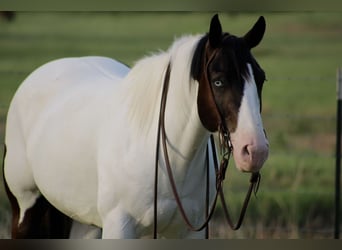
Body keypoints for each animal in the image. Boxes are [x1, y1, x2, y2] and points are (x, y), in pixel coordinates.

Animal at [3, 14, 270, 239]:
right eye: (218, 81)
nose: (255, 151)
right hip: (25, 211)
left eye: (261, 78)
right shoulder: (119, 228)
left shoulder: (191, 231)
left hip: (84, 222)